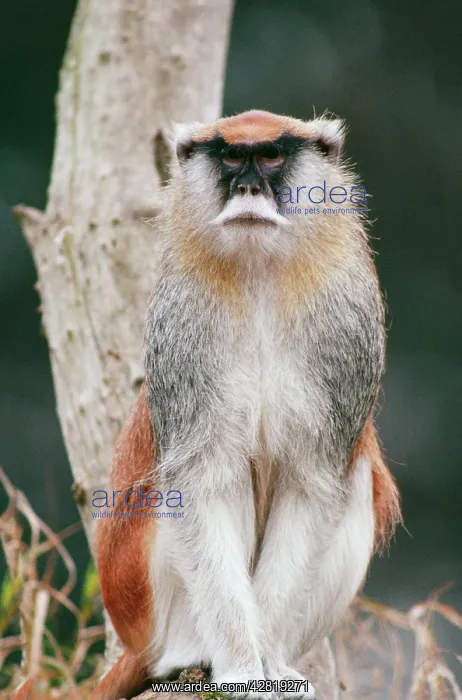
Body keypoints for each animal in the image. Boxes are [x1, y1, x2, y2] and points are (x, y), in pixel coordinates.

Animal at [90, 110, 401, 700]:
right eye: (233, 157)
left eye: (272, 156)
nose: (250, 188)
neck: (259, 274)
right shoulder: (184, 320)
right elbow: (198, 482)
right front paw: (239, 667)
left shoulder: (346, 326)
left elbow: (315, 481)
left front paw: (268, 663)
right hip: (146, 597)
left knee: (355, 477)